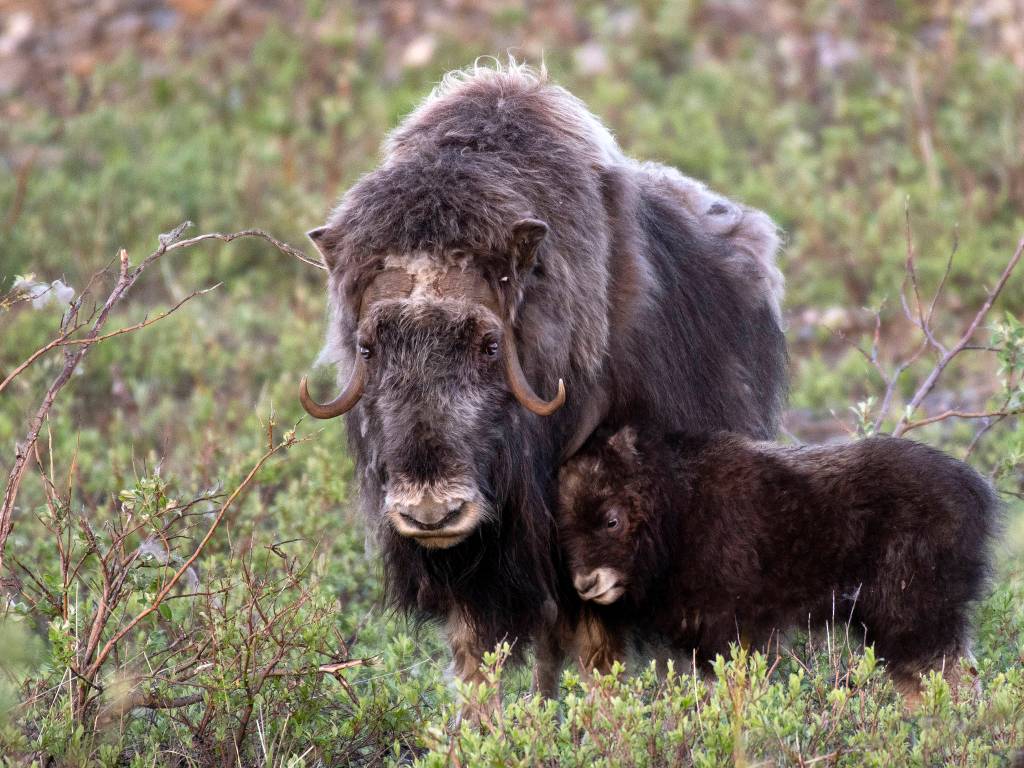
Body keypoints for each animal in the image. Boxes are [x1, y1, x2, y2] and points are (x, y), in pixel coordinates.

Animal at [300, 61, 787, 695]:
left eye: (489, 345)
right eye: (368, 347)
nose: (432, 513)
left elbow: (599, 653)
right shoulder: (478, 573)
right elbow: (475, 657)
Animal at [557, 426, 998, 705]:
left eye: (611, 520)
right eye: (564, 524)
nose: (586, 583)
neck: (678, 508)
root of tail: (978, 492)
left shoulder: (736, 631)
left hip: (916, 618)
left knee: (951, 681)